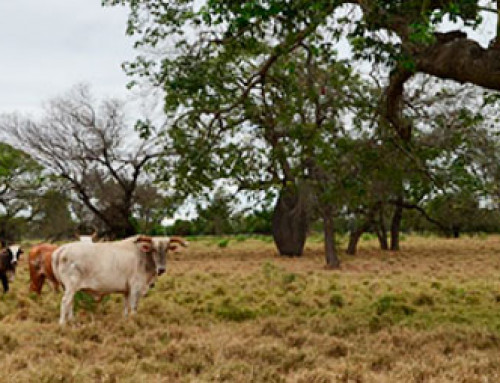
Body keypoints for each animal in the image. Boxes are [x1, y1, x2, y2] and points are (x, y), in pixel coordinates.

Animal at [52, 236, 188, 326]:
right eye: (153, 249)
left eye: (166, 249)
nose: (161, 269)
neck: (143, 257)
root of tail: (62, 249)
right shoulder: (135, 288)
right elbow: (133, 307)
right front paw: (134, 321)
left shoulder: (127, 290)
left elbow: (126, 306)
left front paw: (126, 319)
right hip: (71, 286)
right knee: (65, 302)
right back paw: (62, 323)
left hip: (69, 288)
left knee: (70, 302)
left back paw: (72, 320)